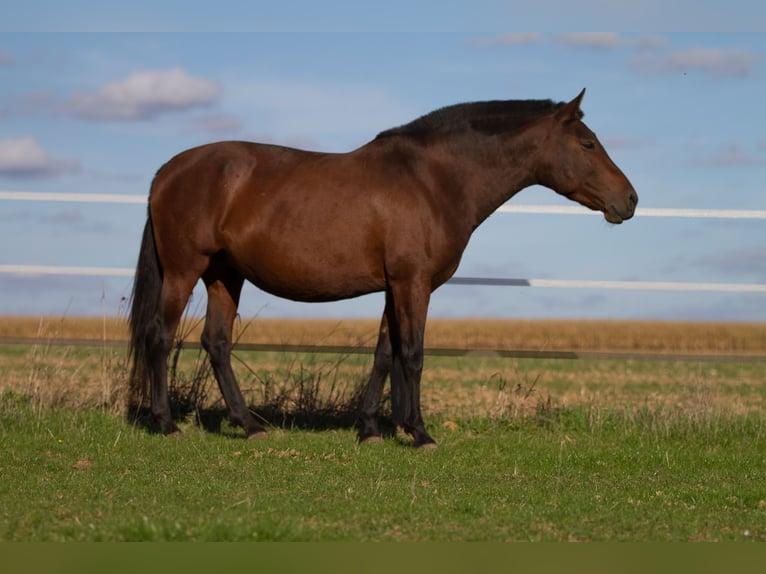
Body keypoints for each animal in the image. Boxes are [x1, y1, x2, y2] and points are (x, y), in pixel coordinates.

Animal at [129, 89, 640, 450]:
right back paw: (167, 424)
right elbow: (412, 355)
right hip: (184, 271)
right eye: (588, 143)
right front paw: (419, 432)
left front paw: (372, 429)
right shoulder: (413, 283)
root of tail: (166, 171)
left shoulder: (395, 285)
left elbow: (382, 354)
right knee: (159, 336)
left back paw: (250, 425)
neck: (433, 180)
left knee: (216, 344)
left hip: (224, 275)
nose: (630, 200)